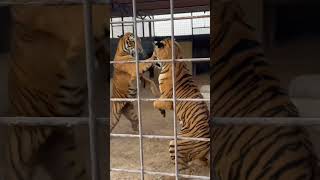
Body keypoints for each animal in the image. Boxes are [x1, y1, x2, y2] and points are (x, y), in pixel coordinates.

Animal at [152, 38, 210, 174]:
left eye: (154, 53)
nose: (151, 60)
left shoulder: (167, 99)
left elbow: (155, 102)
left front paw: (161, 110)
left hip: (175, 142)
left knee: (183, 166)